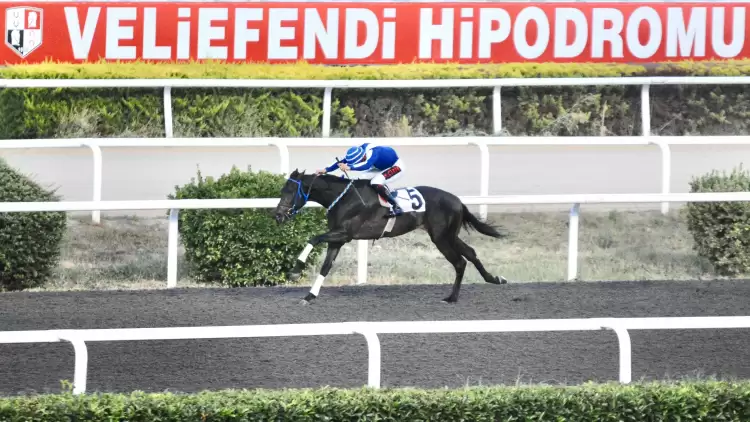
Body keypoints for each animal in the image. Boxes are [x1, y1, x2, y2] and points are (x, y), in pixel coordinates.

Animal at [273, 169, 508, 305]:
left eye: (289, 192)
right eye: (282, 190)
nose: (277, 215)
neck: (343, 198)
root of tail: (458, 201)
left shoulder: (345, 234)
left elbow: (313, 239)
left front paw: (295, 270)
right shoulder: (338, 239)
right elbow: (325, 266)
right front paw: (309, 296)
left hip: (441, 237)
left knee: (460, 261)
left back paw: (452, 298)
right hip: (448, 235)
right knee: (470, 252)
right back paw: (495, 279)